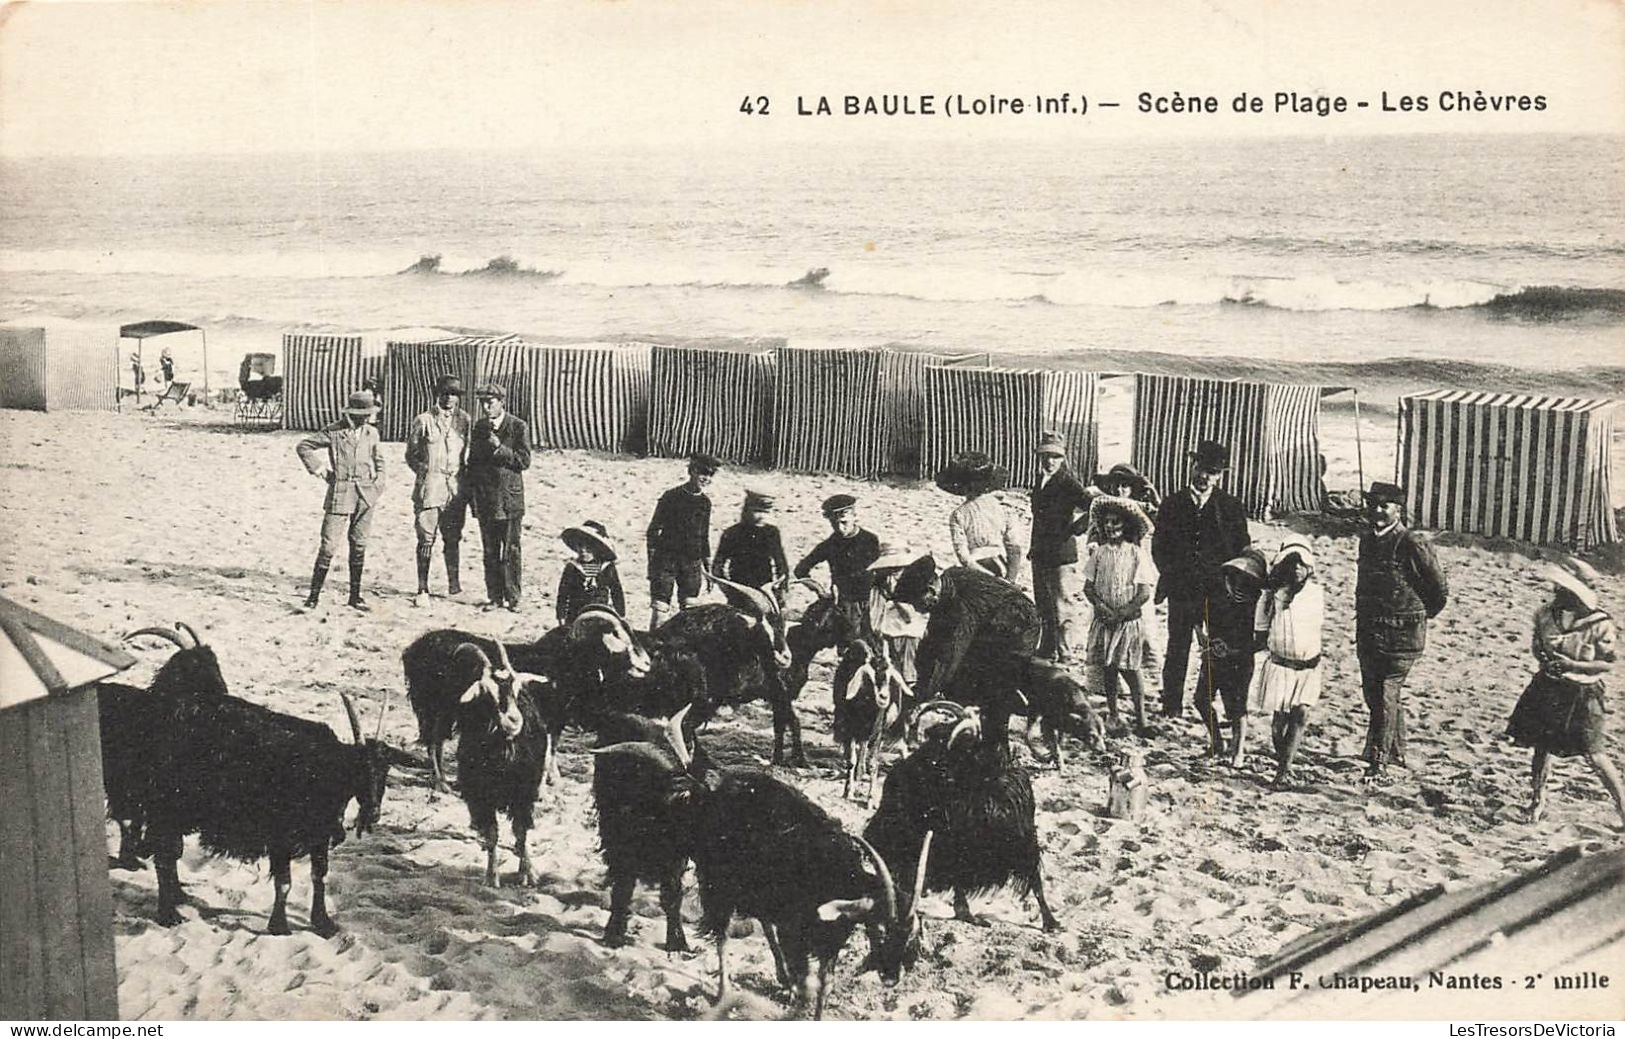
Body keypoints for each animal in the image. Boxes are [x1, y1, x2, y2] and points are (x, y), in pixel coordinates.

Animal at [140, 686, 393, 936]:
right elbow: (284, 882)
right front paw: (279, 925)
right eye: (359, 768)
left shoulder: (319, 835)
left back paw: (178, 897)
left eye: (385, 773)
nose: (373, 812)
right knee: (163, 856)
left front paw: (323, 922)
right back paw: (168, 915)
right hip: (167, 809)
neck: (321, 767)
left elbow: (319, 876)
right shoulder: (280, 835)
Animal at [455, 643, 555, 884]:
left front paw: (527, 873)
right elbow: (492, 834)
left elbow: (521, 831)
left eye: (518, 689)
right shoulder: (480, 797)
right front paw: (491, 876)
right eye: (486, 692)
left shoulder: (524, 794)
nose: (513, 720)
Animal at [598, 712, 929, 1021]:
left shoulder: (827, 941)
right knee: (722, 933)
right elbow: (805, 983)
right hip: (720, 882)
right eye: (881, 929)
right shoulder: (795, 932)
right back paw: (723, 991)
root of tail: (706, 787)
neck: (832, 875)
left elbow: (824, 986)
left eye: (912, 933)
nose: (891, 976)